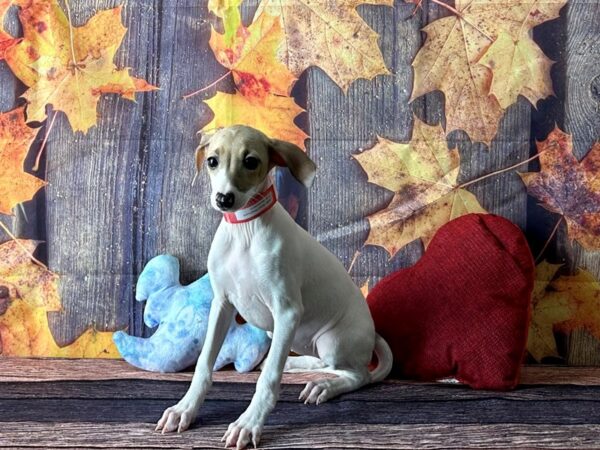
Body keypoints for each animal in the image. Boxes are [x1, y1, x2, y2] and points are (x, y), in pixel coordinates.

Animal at [155, 125, 394, 450]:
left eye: (251, 162)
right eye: (212, 161)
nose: (224, 199)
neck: (244, 231)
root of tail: (371, 336)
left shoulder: (287, 312)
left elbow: (268, 379)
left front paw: (248, 423)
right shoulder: (222, 305)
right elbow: (204, 364)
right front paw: (184, 409)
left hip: (332, 339)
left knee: (356, 374)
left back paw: (323, 387)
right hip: (291, 336)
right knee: (322, 363)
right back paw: (297, 366)